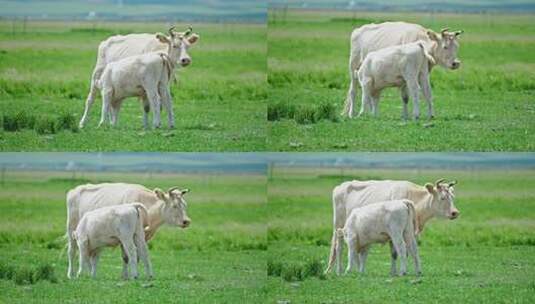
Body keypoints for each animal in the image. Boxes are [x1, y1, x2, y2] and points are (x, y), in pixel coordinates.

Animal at [324, 179, 458, 274]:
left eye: (453, 197)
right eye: (442, 198)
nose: (455, 212)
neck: (413, 196)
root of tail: (341, 186)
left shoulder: (409, 233)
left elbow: (404, 251)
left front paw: (394, 271)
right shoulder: (394, 234)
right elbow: (395, 252)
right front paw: (395, 271)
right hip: (338, 225)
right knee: (338, 247)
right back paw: (337, 270)